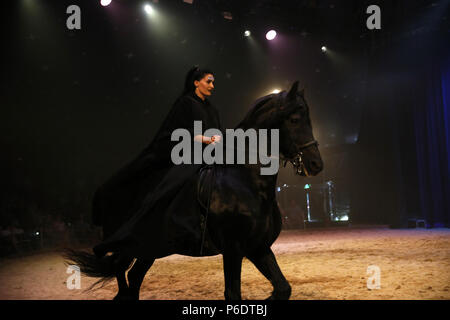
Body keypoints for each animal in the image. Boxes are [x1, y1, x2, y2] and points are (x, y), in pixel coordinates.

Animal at [64, 82, 324, 300]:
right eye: (294, 119)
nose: (316, 165)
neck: (245, 182)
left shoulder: (257, 247)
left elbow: (282, 288)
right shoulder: (233, 249)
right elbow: (233, 294)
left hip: (149, 248)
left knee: (133, 277)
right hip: (131, 244)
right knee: (122, 275)